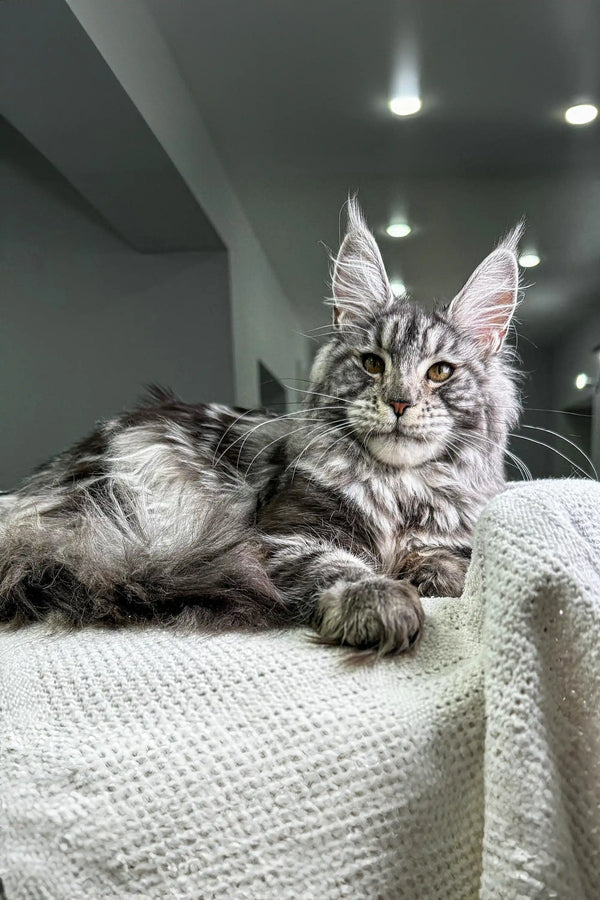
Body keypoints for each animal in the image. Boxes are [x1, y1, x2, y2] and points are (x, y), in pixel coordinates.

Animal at [0, 200, 520, 656]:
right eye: (373, 364)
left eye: (440, 372)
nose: (399, 402)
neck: (398, 491)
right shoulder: (284, 536)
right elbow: (342, 565)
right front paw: (381, 601)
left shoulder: (447, 537)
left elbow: (448, 564)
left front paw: (438, 578)